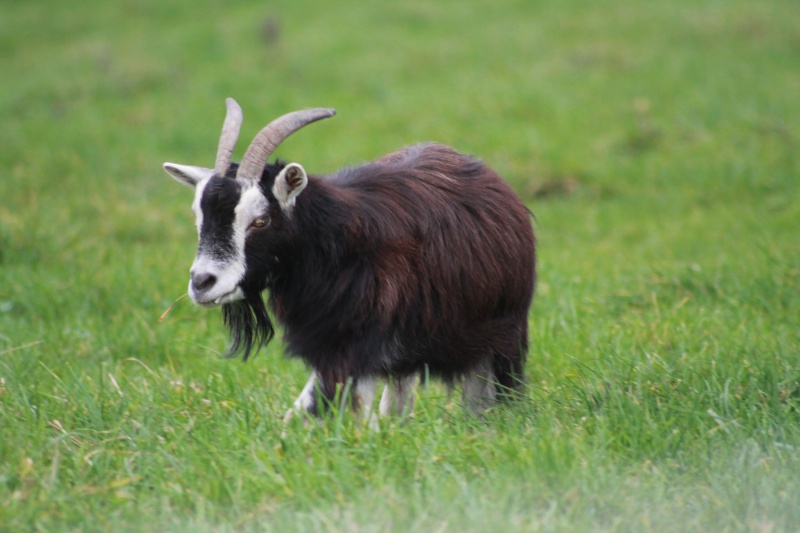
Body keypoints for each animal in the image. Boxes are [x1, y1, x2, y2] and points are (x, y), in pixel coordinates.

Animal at [162, 98, 536, 420]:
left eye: (260, 220)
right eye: (199, 215)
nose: (202, 282)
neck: (333, 243)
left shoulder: (355, 343)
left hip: (499, 337)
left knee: (481, 398)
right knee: (398, 401)